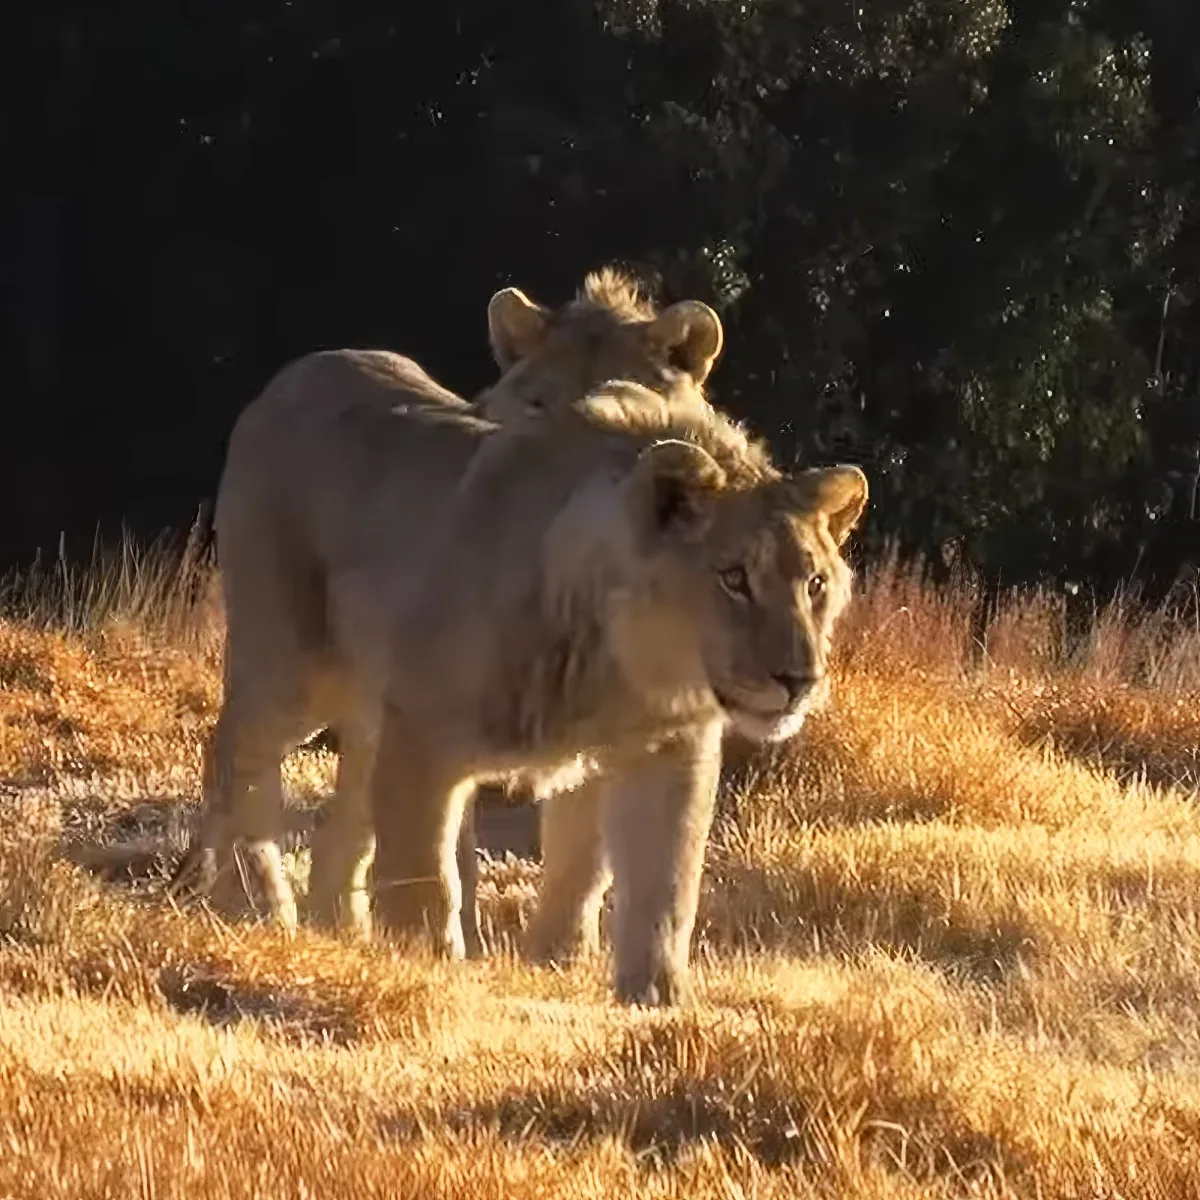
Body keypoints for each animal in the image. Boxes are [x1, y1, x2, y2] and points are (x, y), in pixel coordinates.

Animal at [180, 375, 868, 1005]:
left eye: (814, 584)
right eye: (733, 578)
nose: (799, 680)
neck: (623, 669)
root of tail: (280, 385)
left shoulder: (669, 750)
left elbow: (656, 881)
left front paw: (648, 996)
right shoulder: (423, 732)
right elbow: (425, 874)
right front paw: (427, 969)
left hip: (367, 706)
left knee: (336, 814)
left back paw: (332, 925)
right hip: (295, 665)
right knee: (237, 753)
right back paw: (251, 901)